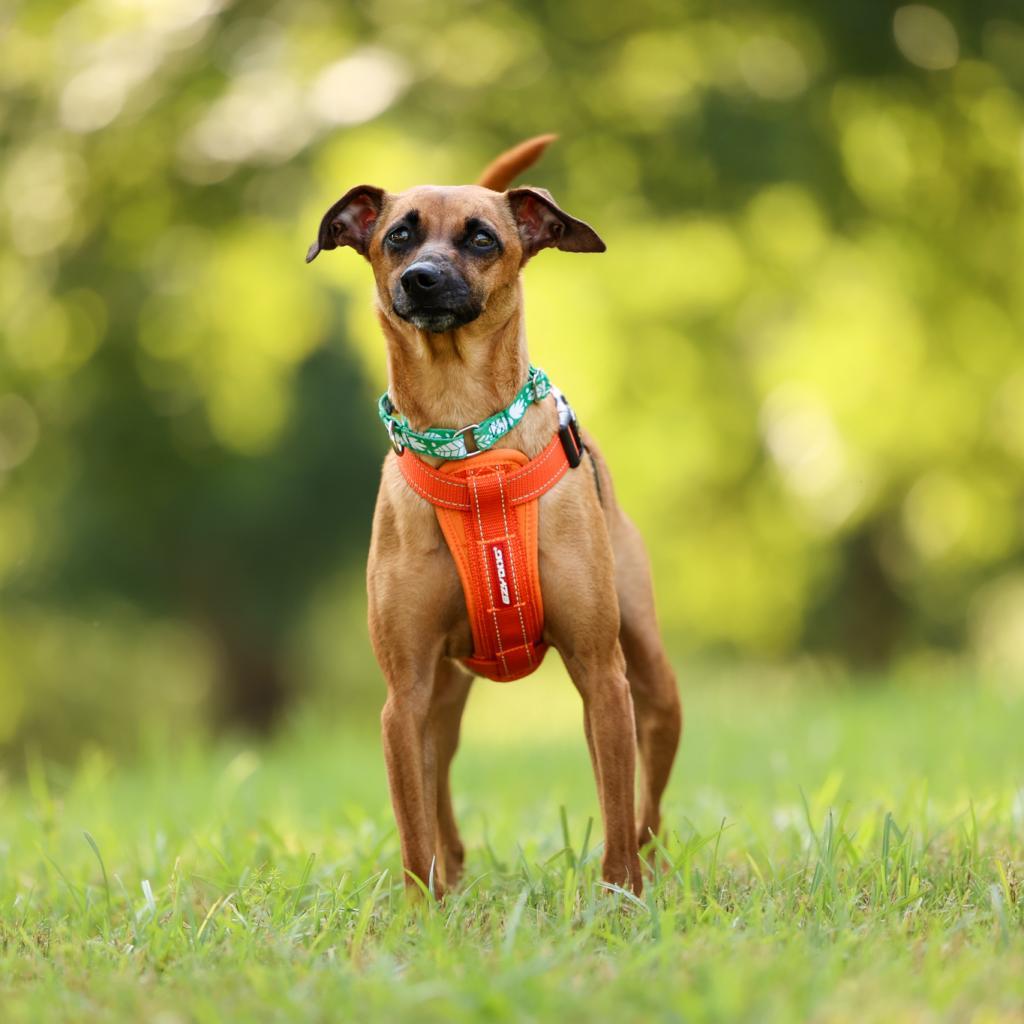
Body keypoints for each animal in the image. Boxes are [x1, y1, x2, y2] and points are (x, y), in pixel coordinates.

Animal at [307, 134, 684, 897]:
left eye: (482, 237)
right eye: (398, 235)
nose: (421, 279)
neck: (469, 445)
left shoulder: (602, 675)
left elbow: (617, 807)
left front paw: (621, 897)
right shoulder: (404, 697)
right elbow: (413, 821)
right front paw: (426, 908)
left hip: (651, 679)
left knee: (644, 802)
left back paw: (651, 865)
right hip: (442, 698)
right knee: (438, 783)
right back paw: (453, 873)